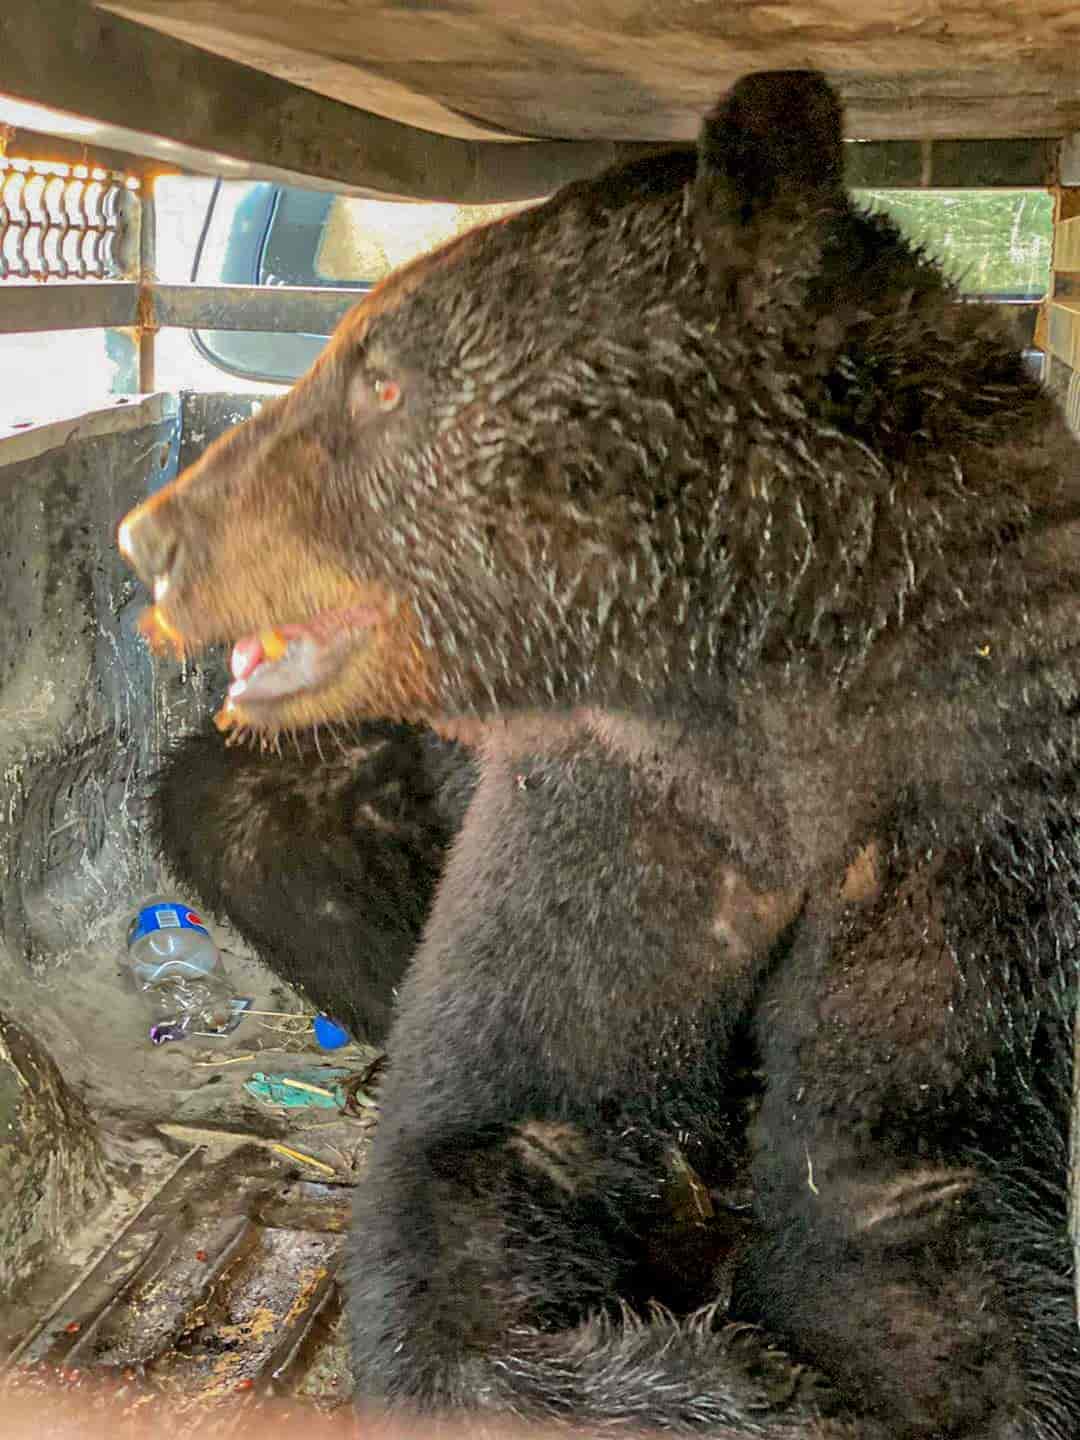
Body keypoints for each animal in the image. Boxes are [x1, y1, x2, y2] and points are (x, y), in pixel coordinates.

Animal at [120, 70, 1080, 1438]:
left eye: (380, 381)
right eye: (350, 350)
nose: (156, 537)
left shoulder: (959, 780)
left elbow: (904, 1172)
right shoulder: (619, 785)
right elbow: (497, 1130)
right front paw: (714, 1378)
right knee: (250, 823)